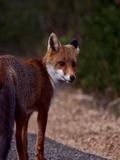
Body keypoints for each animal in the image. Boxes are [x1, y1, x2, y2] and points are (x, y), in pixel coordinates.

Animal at [0, 32, 79, 160]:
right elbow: (40, 140)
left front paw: (26, 157)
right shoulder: (43, 110)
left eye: (73, 65)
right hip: (19, 114)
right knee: (16, 136)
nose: (72, 77)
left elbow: (25, 140)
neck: (47, 75)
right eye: (61, 63)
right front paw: (39, 157)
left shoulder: (28, 114)